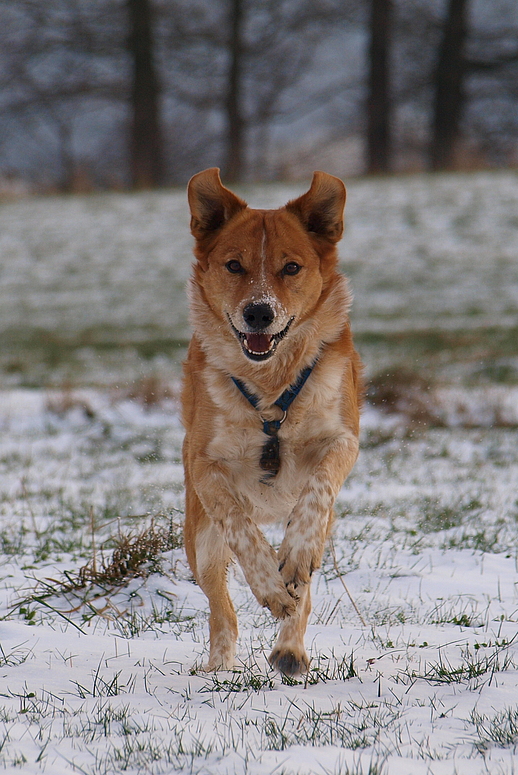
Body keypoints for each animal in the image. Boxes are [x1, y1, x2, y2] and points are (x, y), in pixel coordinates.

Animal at [183, 168, 366, 672]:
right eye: (233, 265)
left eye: (291, 268)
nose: (259, 312)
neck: (269, 388)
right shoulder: (203, 464)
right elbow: (240, 526)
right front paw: (268, 582)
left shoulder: (342, 438)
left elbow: (317, 493)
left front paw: (293, 556)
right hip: (199, 538)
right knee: (220, 604)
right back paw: (220, 664)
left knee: (306, 579)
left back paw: (290, 648)